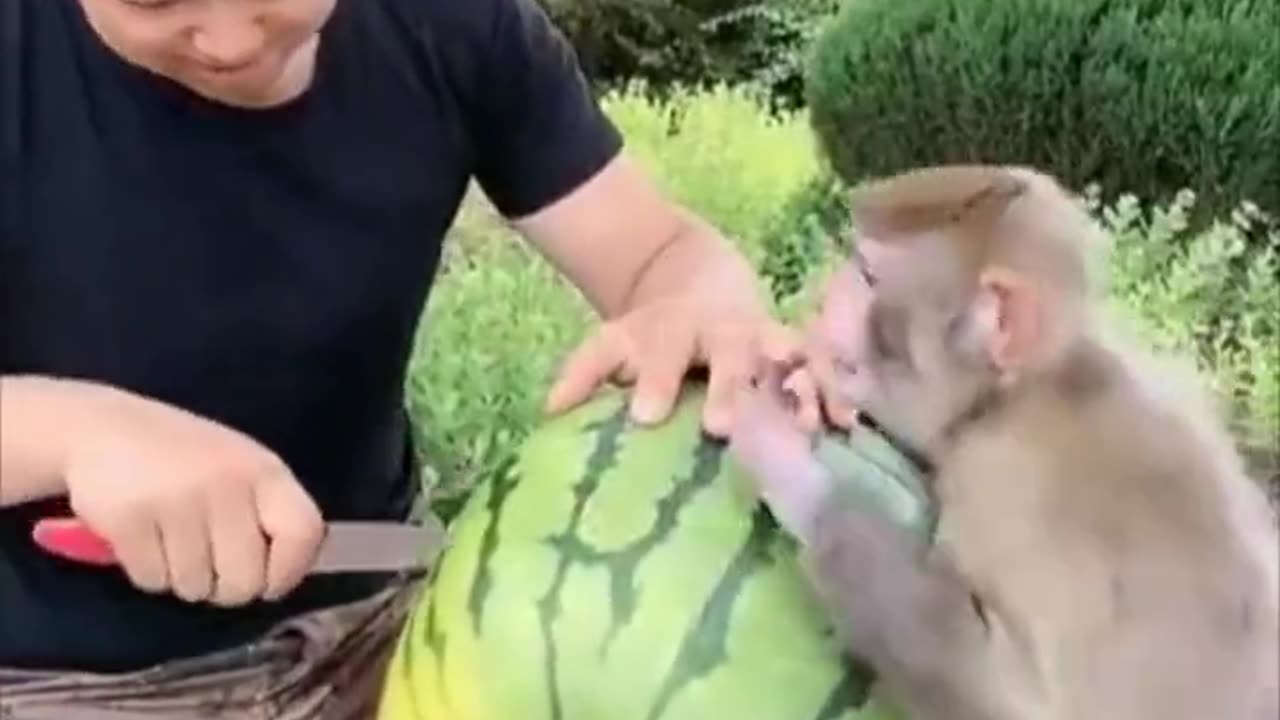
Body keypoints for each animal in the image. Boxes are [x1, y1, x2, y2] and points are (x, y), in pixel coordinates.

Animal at [732, 163, 1280, 717]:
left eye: (866, 274)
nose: (822, 296)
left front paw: (790, 462)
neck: (1010, 398)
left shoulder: (1005, 486)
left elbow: (1014, 698)